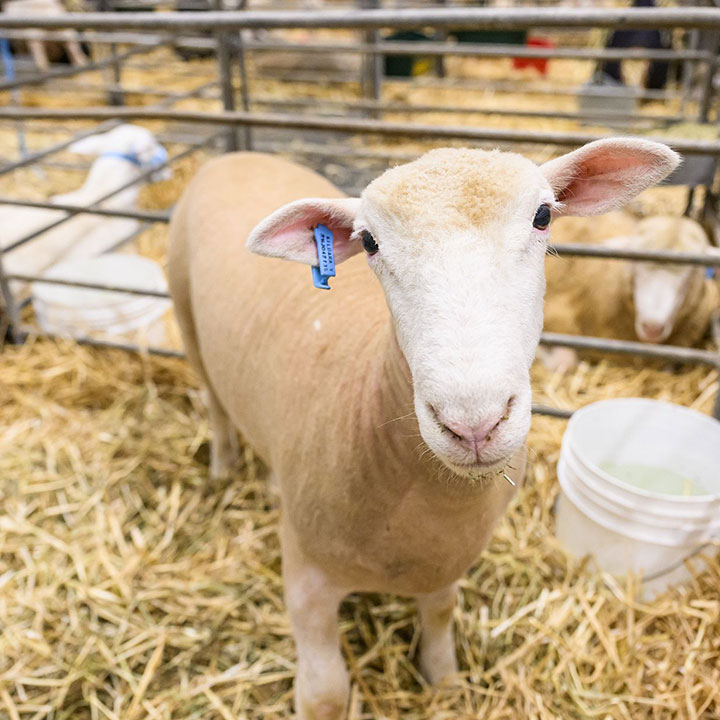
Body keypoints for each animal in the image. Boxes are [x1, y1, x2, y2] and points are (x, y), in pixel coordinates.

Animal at [167, 138, 677, 720]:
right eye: (368, 241)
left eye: (543, 216)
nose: (473, 424)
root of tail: (236, 154)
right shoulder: (305, 574)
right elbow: (324, 694)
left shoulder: (444, 563)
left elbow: (439, 619)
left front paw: (446, 683)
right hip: (184, 313)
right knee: (214, 403)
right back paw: (223, 468)